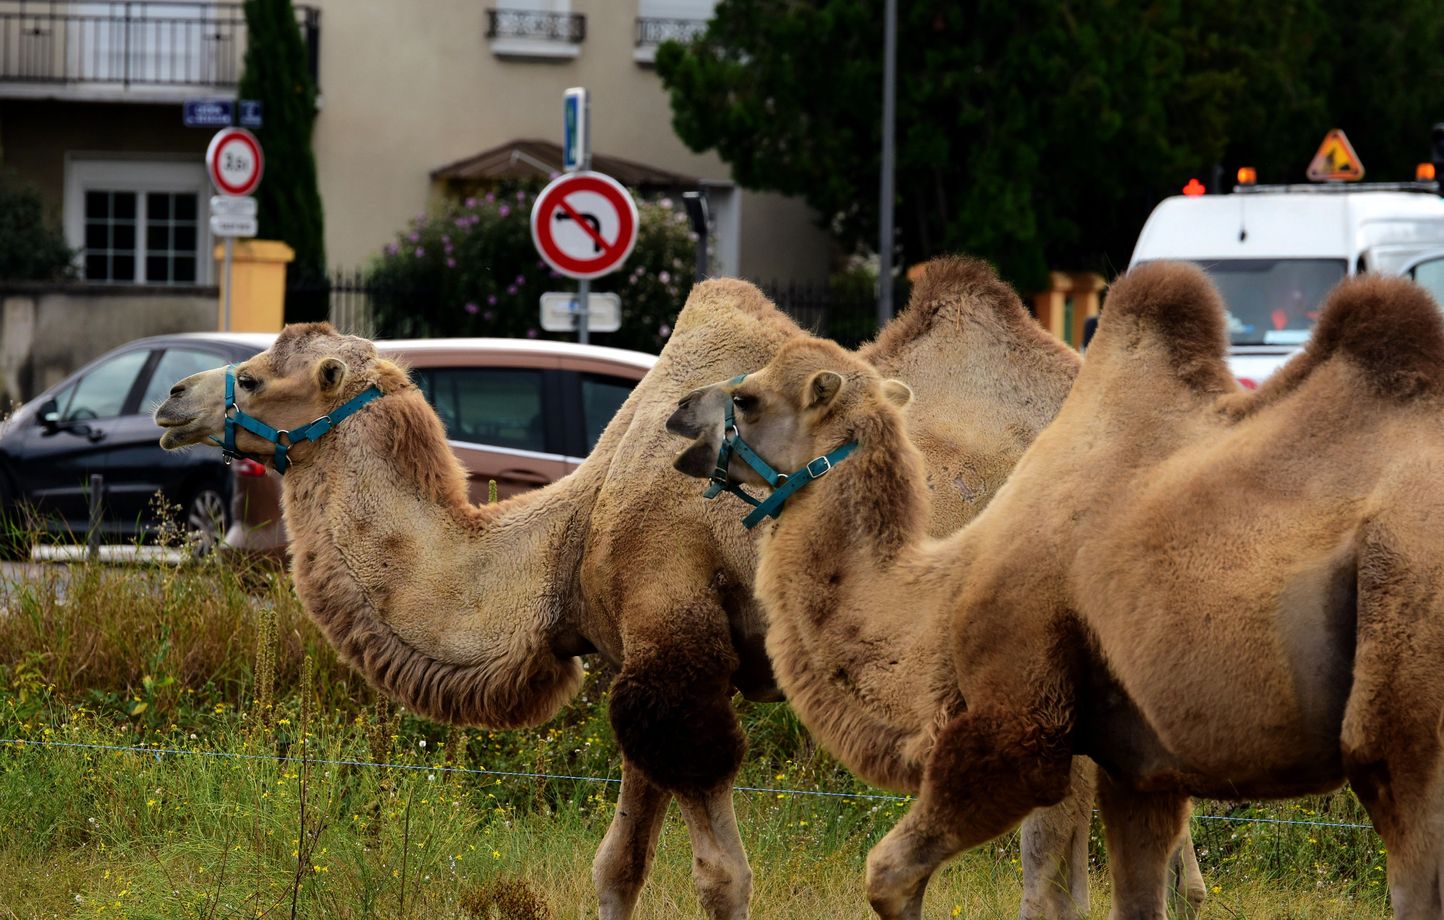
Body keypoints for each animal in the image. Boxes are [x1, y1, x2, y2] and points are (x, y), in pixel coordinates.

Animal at [152, 261, 1166, 912]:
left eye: (255, 374)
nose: (170, 399)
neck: (567, 536)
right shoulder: (635, 648)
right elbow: (618, 864)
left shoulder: (675, 630)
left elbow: (722, 874)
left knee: (1049, 855)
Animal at [664, 258, 1444, 918]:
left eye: (747, 398)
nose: (679, 413)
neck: (939, 591)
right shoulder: (1140, 767)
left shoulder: (1020, 722)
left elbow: (894, 876)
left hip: (1403, 704)